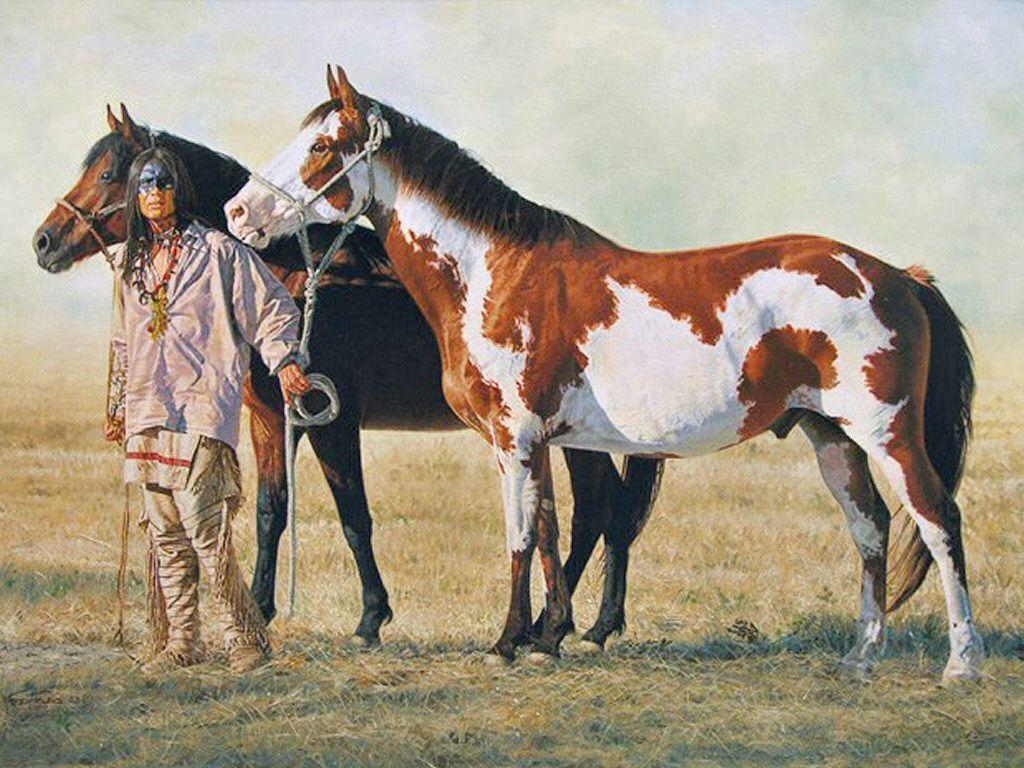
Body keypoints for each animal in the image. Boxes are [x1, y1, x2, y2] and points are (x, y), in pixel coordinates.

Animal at [33, 104, 665, 650]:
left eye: (110, 172)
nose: (44, 242)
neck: (292, 276)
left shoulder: (330, 421)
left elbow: (353, 513)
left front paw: (370, 618)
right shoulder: (272, 419)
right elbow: (271, 510)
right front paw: (262, 607)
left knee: (597, 510)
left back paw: (563, 626)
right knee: (603, 510)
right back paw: (591, 625)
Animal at [224, 65, 981, 681]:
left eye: (321, 147)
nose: (237, 212)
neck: (494, 273)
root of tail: (898, 277)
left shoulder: (516, 437)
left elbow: (521, 536)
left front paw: (507, 643)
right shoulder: (540, 440)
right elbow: (552, 529)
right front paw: (544, 637)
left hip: (886, 431)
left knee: (936, 518)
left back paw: (962, 662)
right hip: (832, 436)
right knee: (871, 529)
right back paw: (862, 654)